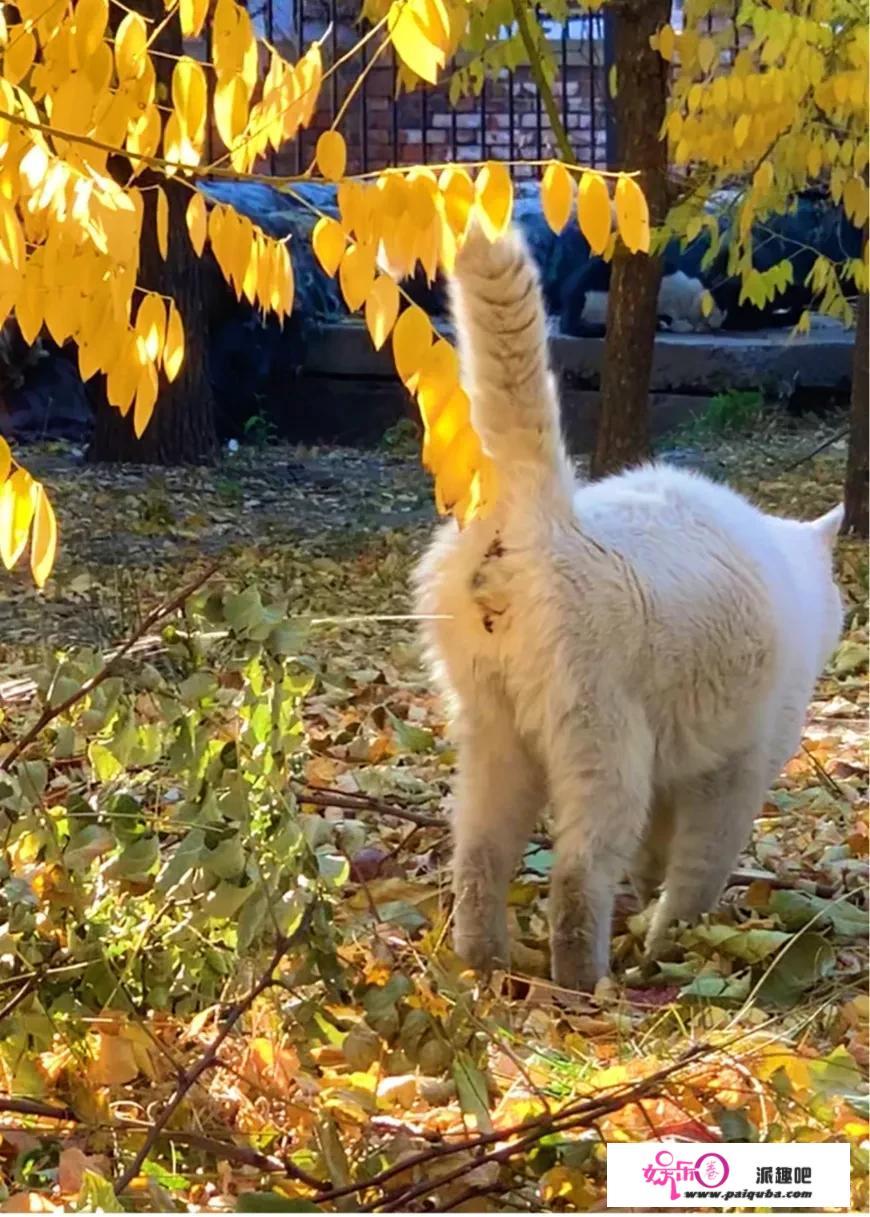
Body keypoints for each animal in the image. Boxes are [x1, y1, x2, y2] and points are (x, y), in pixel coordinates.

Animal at [416, 223, 842, 993]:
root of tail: (546, 511)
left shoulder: (681, 770)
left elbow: (655, 861)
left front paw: (652, 913)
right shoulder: (733, 773)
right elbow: (696, 874)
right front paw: (678, 944)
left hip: (496, 737)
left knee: (480, 860)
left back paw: (487, 965)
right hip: (606, 751)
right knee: (577, 879)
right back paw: (588, 984)